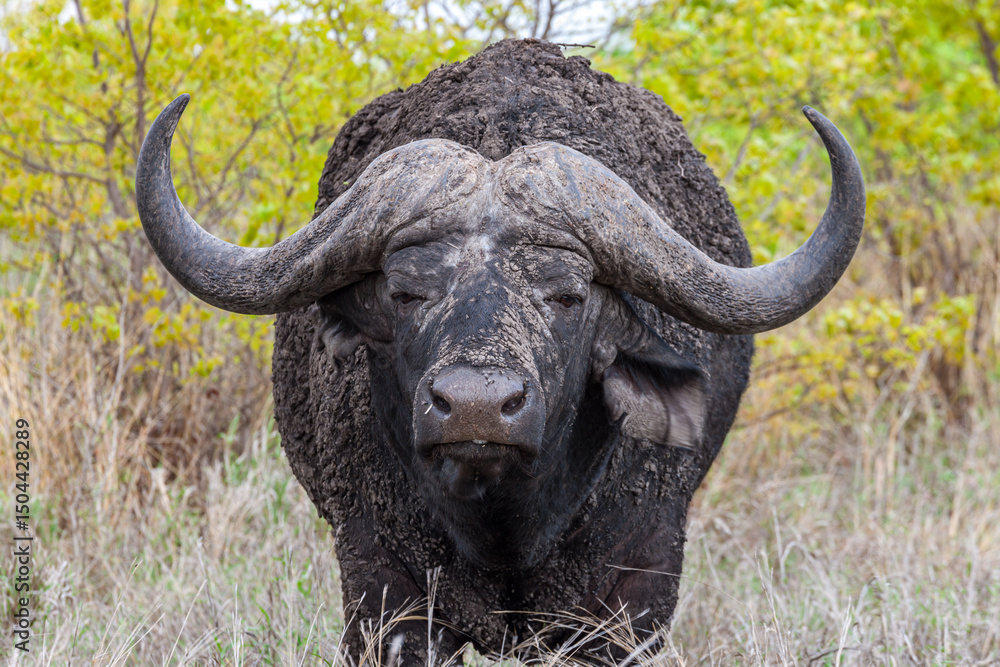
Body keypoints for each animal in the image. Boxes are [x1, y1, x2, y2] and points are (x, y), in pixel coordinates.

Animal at [135, 40, 864, 664]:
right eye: (405, 291)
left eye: (568, 294)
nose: (476, 406)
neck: (505, 523)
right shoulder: (382, 589)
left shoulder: (635, 593)